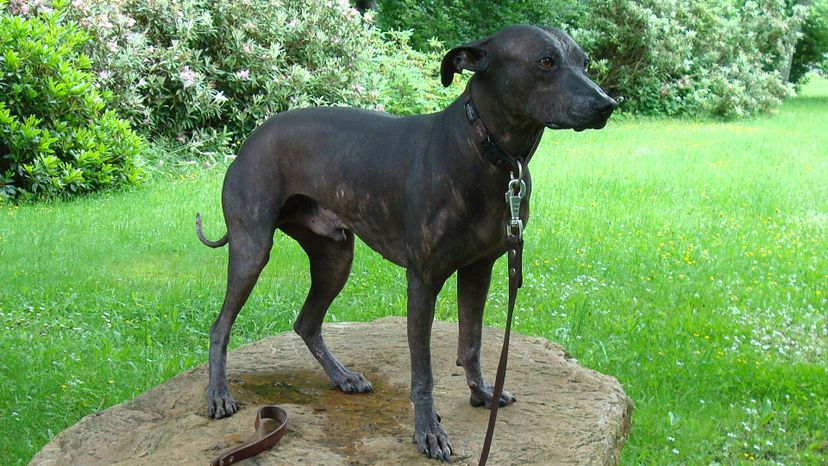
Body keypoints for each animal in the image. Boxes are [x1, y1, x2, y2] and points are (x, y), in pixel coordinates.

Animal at [197, 23, 616, 460]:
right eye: (545, 62)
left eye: (584, 61)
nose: (607, 104)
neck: (485, 153)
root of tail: (250, 140)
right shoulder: (423, 282)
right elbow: (424, 371)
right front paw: (428, 431)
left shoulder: (479, 269)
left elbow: (472, 343)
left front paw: (482, 393)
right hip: (252, 251)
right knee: (220, 326)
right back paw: (219, 394)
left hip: (335, 258)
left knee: (306, 323)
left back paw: (342, 376)